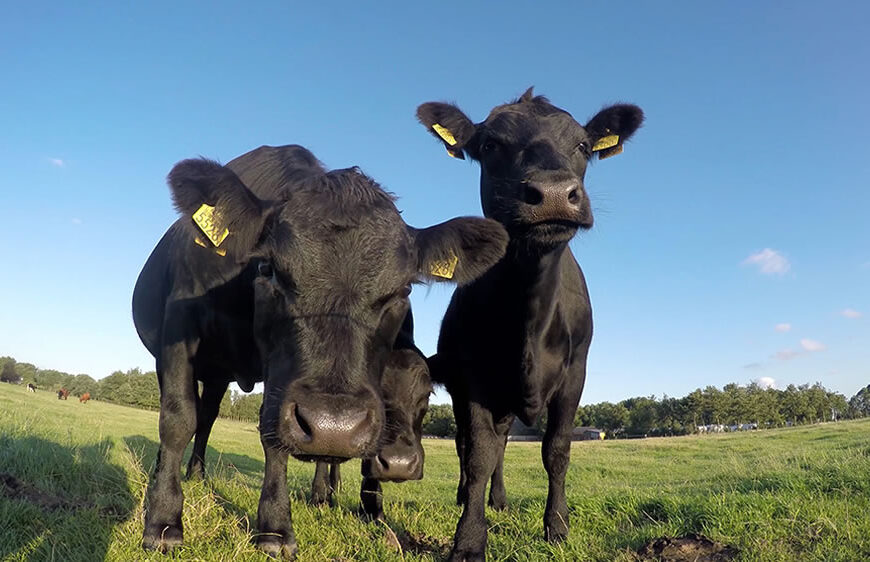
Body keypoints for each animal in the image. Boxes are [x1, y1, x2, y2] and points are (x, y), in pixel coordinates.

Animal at [132, 144, 508, 556]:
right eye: (268, 269)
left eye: (403, 290)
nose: (334, 427)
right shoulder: (179, 325)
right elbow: (177, 418)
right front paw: (163, 521)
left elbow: (270, 435)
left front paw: (275, 528)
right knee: (196, 416)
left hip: (218, 375)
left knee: (210, 414)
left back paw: (203, 474)